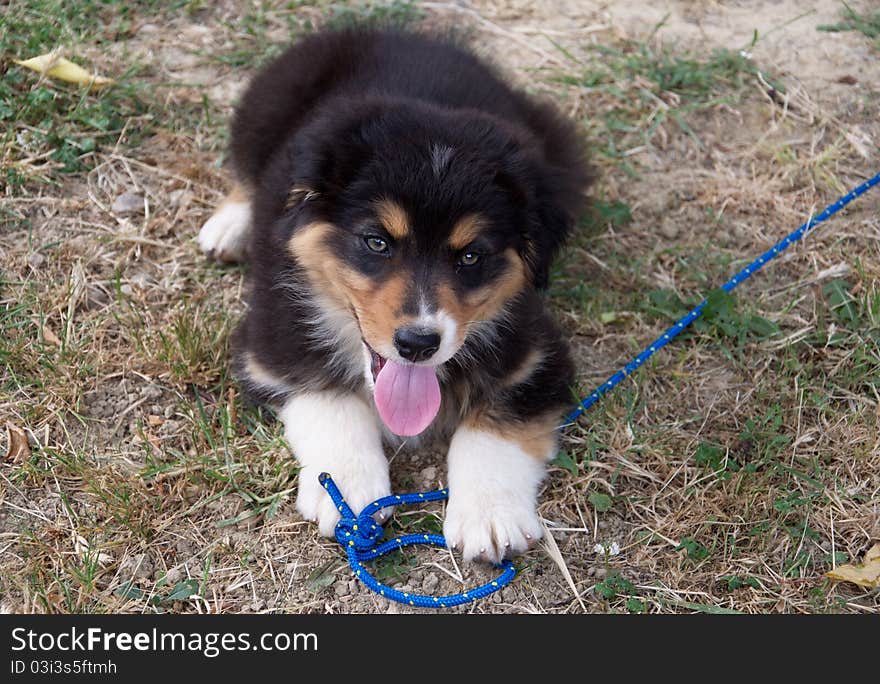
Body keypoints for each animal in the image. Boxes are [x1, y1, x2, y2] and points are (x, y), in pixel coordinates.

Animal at [199, 26, 592, 564]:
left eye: (471, 256)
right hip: (264, 109)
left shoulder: (535, 354)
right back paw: (229, 226)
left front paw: (490, 515)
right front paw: (345, 488)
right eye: (377, 242)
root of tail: (396, 31)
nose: (418, 344)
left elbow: (495, 425)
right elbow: (331, 401)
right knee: (244, 172)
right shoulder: (274, 341)